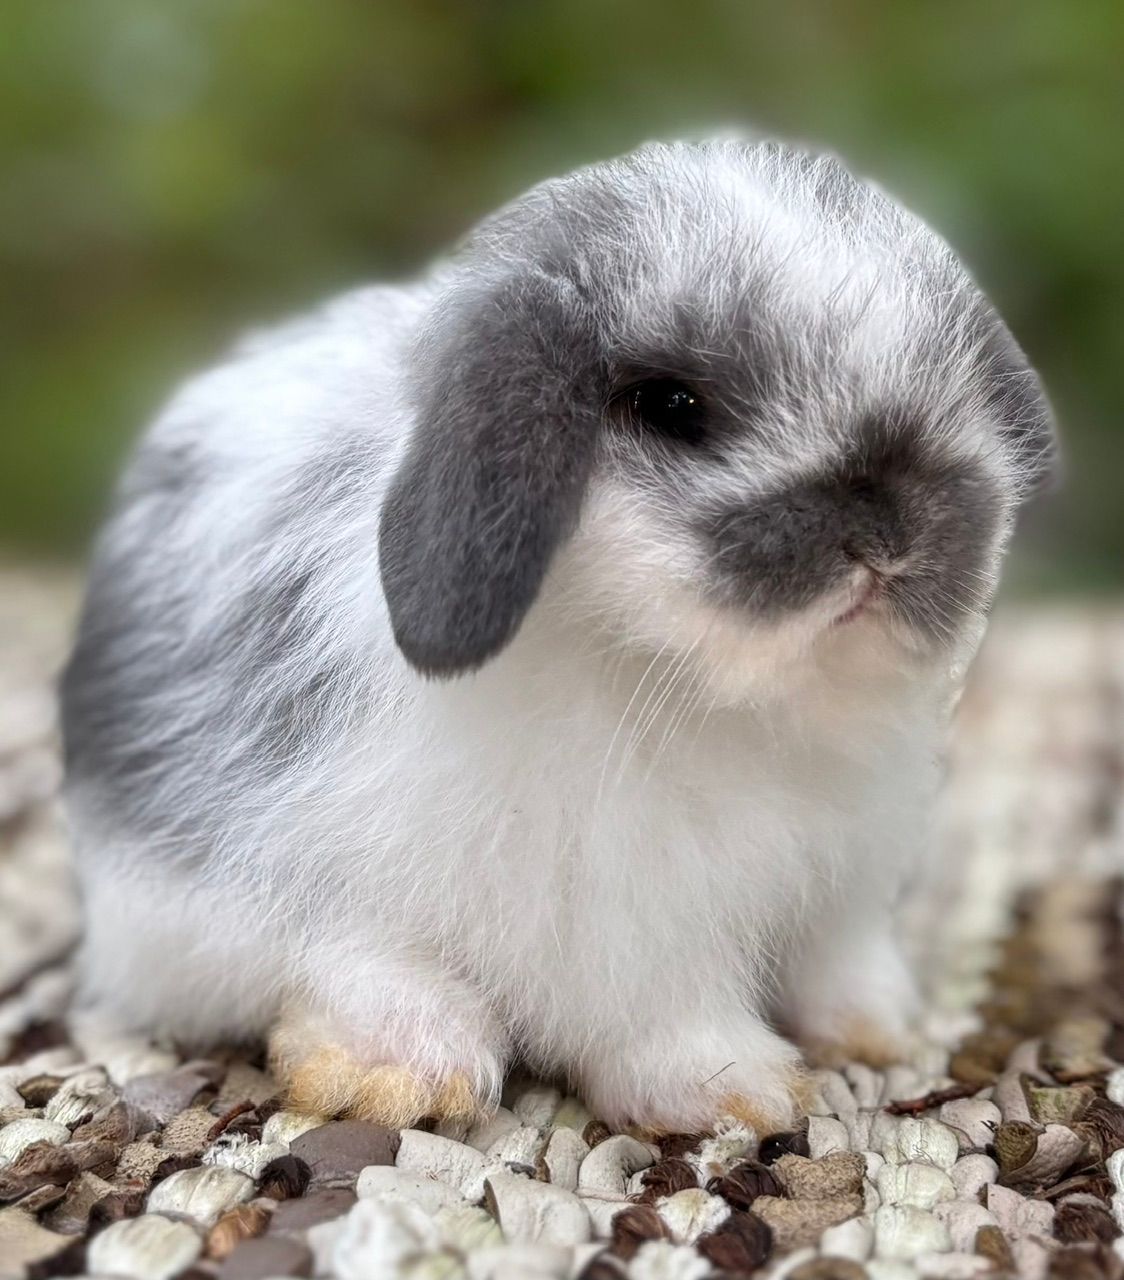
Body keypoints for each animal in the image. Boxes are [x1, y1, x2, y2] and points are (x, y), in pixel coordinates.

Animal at [61, 137, 1056, 1135]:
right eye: (672, 407)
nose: (888, 534)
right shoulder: (626, 913)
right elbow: (668, 1009)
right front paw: (739, 1088)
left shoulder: (840, 884)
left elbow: (837, 959)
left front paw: (878, 1029)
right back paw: (405, 1066)